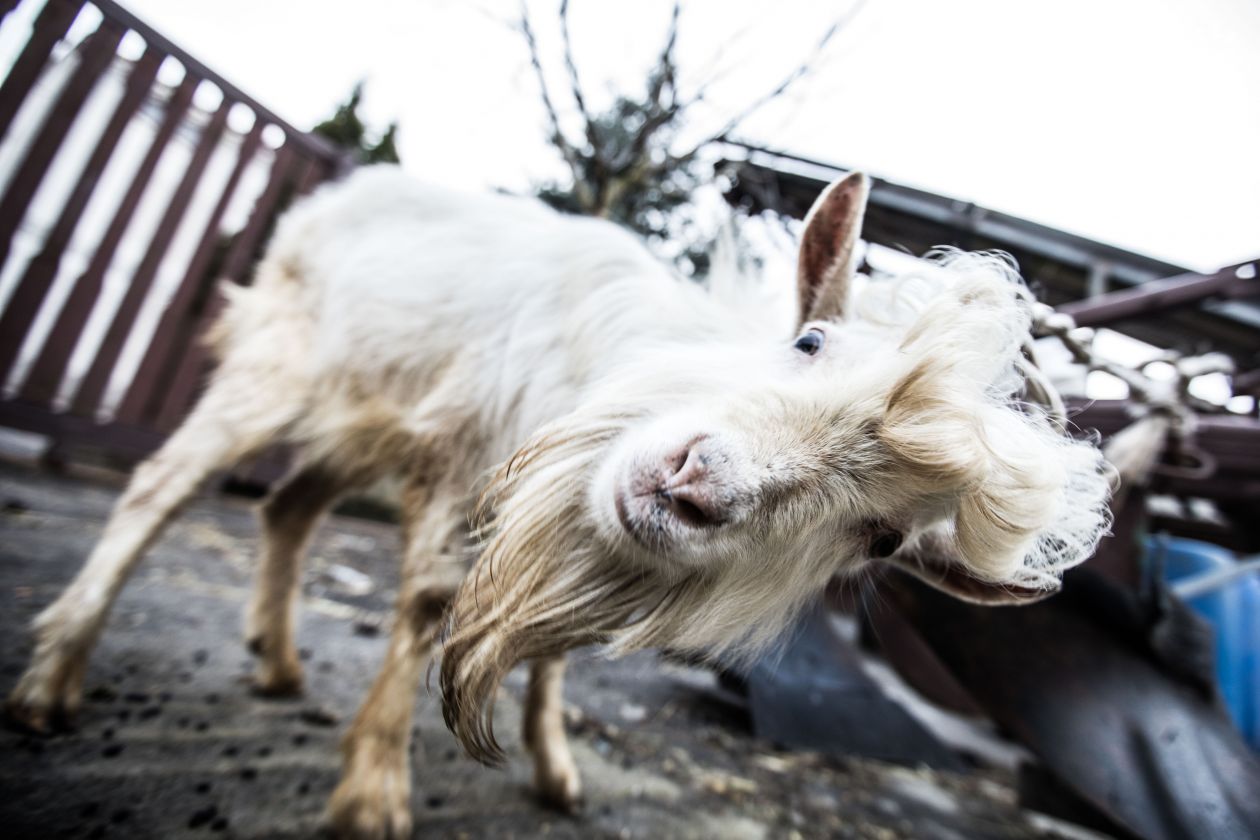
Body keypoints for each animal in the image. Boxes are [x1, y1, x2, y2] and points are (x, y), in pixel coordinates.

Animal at [12, 167, 1113, 836]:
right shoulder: (467, 462)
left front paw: (552, 767)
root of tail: (333, 197)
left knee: (287, 508)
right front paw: (374, 793)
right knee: (160, 486)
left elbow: (554, 657)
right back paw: (54, 678)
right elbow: (426, 607)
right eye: (808, 341)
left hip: (365, 419)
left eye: (879, 540)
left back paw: (279, 664)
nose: (694, 482)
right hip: (278, 372)